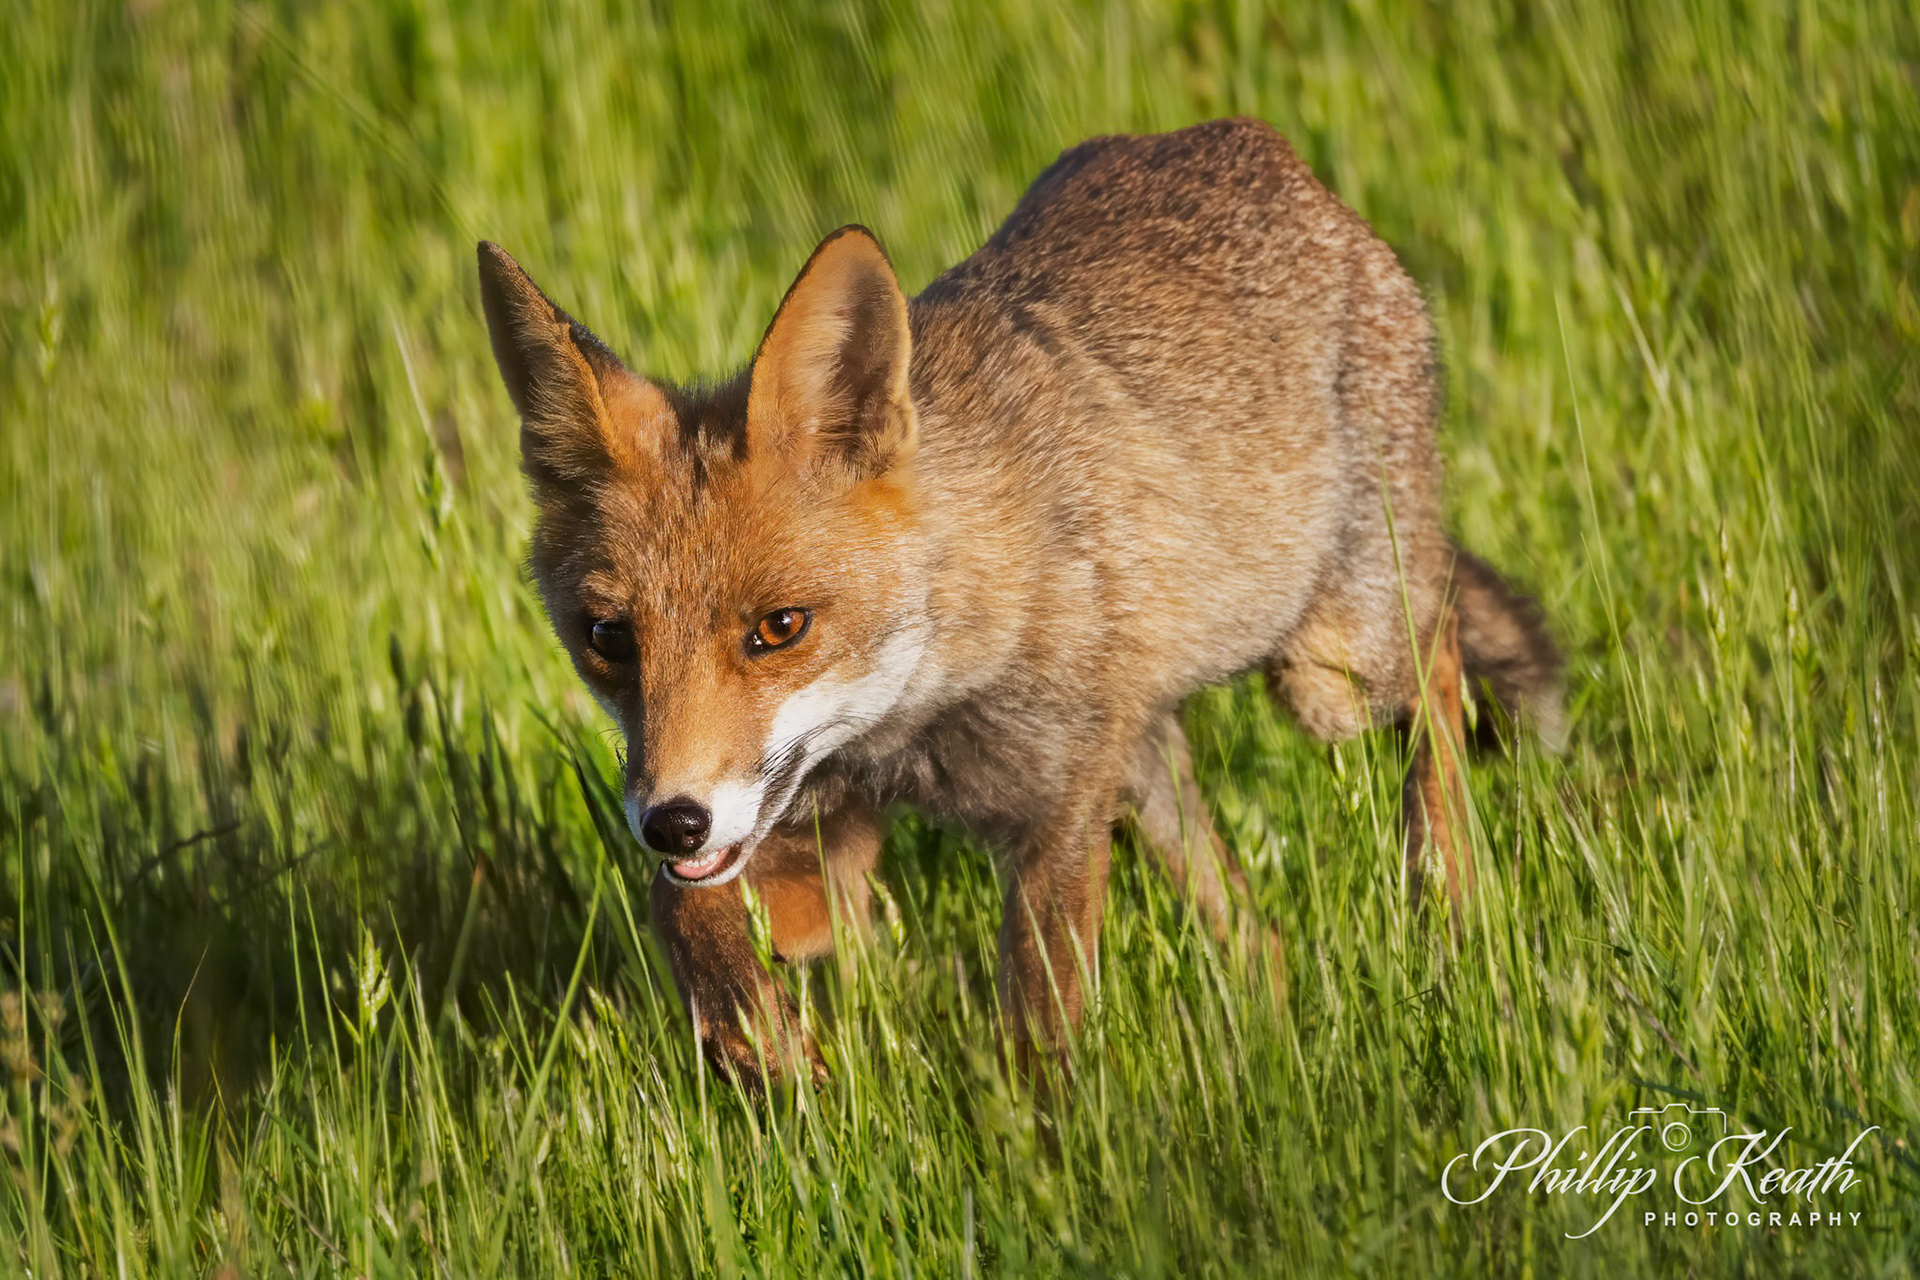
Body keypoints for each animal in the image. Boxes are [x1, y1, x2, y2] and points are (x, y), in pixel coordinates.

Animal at [478, 117, 1562, 1081]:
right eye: (608, 638)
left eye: (780, 628)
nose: (672, 821)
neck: (916, 720)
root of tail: (1261, 150)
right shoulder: (820, 826)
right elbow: (691, 910)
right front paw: (764, 1043)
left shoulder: (1058, 810)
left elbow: (1038, 1026)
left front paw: (1047, 1160)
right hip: (1153, 759)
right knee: (1249, 918)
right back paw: (1277, 999)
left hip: (1330, 672)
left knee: (1443, 657)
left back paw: (1448, 893)